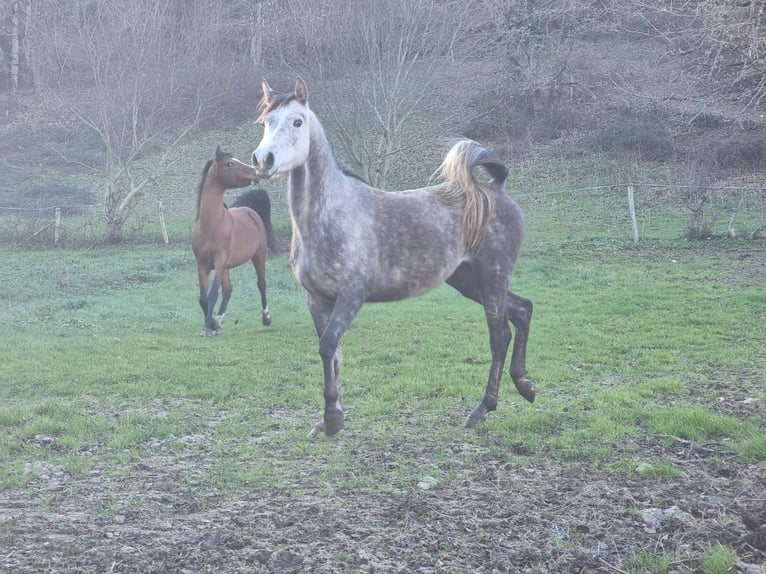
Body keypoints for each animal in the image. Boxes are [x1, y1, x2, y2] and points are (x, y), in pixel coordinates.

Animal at [192, 146, 280, 340]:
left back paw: (267, 318)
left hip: (258, 257)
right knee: (228, 289)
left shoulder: (219, 262)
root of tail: (249, 210)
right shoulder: (202, 264)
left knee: (261, 284)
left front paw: (208, 327)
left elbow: (212, 294)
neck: (211, 226)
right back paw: (219, 319)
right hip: (226, 268)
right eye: (229, 163)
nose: (256, 172)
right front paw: (213, 325)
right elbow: (203, 298)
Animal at [252, 80, 536, 436]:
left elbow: (327, 346)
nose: (263, 160)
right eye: (266, 122)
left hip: (492, 278)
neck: (329, 216)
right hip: (470, 282)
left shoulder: (352, 295)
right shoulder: (316, 299)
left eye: (297, 122)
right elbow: (333, 354)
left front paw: (332, 419)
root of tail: (495, 188)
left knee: (499, 337)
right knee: (522, 310)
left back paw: (482, 409)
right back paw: (525, 386)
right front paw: (332, 417)